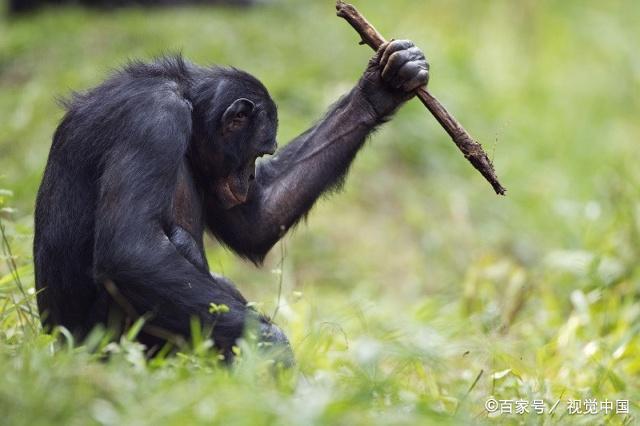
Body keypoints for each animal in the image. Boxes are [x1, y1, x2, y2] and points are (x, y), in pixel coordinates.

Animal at [32, 39, 428, 360]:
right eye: (257, 152)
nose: (250, 176)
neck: (187, 100)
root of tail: (58, 344)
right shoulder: (154, 122)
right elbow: (132, 250)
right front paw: (271, 348)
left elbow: (257, 221)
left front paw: (383, 85)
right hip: (109, 345)